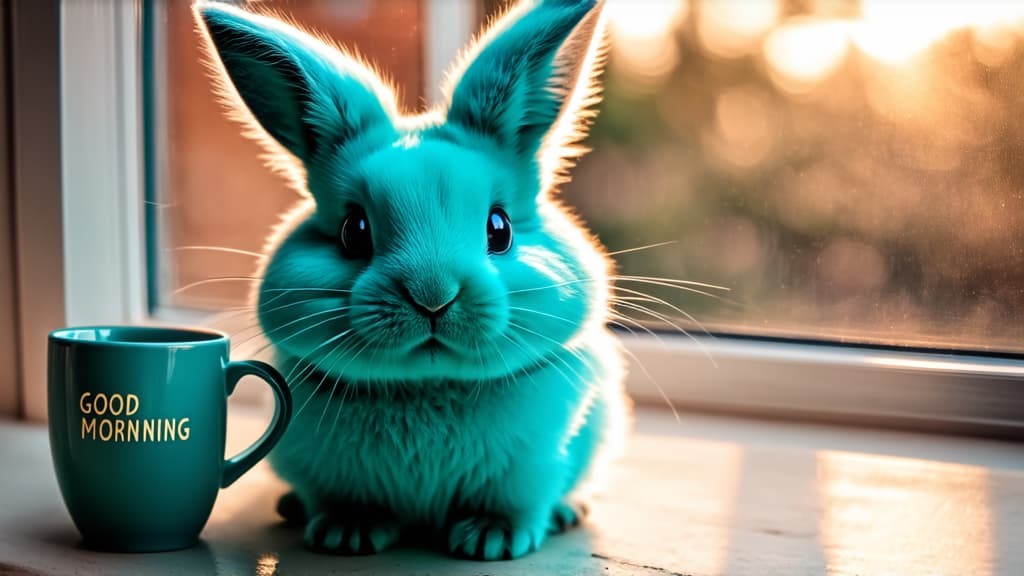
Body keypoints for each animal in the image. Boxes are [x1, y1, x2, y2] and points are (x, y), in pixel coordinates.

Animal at [191, 0, 622, 557]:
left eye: (499, 228)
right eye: (354, 231)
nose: (433, 297)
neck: (426, 386)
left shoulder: (530, 469)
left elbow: (515, 504)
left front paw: (490, 541)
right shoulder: (328, 470)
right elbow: (349, 501)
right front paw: (347, 534)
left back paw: (568, 513)